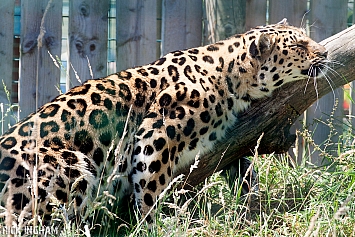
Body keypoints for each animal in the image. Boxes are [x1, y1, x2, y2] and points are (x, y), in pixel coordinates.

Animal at [0, 19, 328, 227]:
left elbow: (243, 166)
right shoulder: (153, 136)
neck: (229, 76)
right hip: (71, 165)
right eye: (299, 45)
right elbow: (150, 191)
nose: (324, 52)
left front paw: (251, 199)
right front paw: (151, 225)